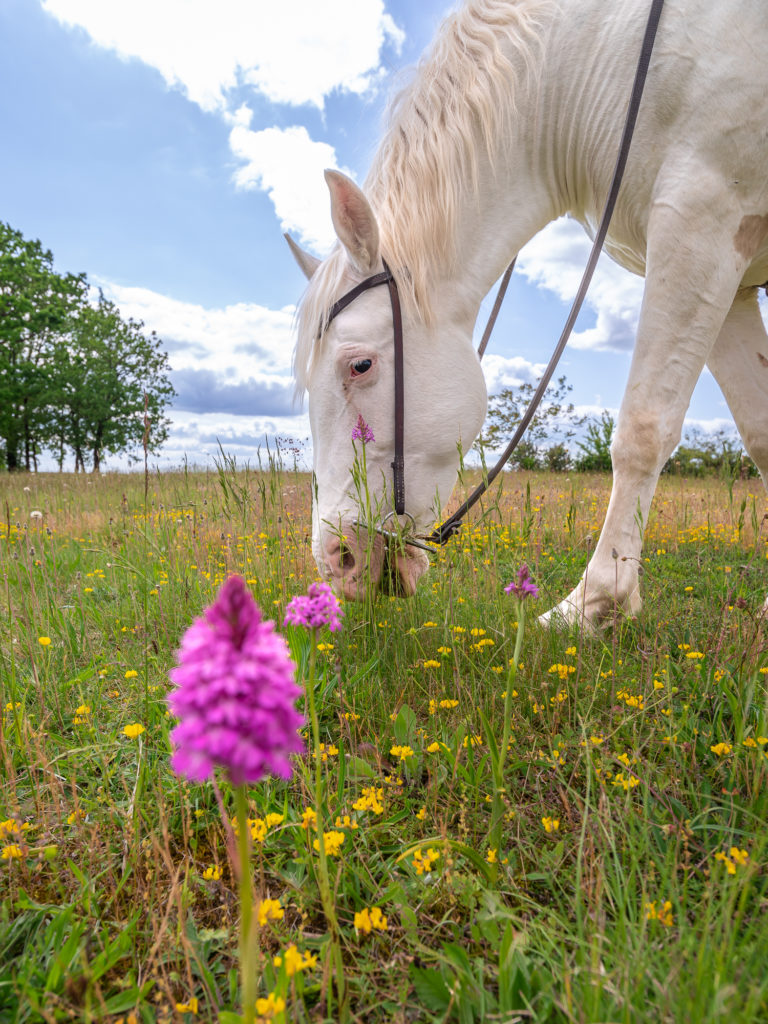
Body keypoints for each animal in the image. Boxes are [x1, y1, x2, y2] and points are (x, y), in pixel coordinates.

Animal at [288, 0, 768, 626]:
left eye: (360, 366)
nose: (336, 562)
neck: (597, 57)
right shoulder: (731, 274)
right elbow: (762, 434)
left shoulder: (700, 221)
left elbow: (643, 430)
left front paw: (593, 605)